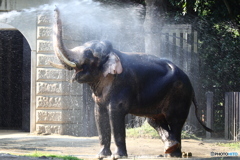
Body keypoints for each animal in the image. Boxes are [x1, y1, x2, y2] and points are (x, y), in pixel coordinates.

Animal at [50, 6, 212, 158]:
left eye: (88, 53)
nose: (55, 8)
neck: (113, 52)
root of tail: (191, 85)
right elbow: (99, 114)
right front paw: (101, 155)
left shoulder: (121, 86)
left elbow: (115, 114)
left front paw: (117, 156)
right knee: (155, 120)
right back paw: (170, 149)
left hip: (180, 94)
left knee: (174, 120)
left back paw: (174, 154)